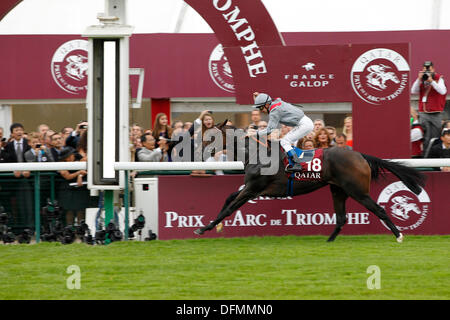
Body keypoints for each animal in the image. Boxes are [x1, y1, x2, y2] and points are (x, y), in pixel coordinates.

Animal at [193, 123, 426, 242]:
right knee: (341, 217)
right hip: (338, 190)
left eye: (210, 136)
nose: (197, 150)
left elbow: (230, 207)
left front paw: (205, 228)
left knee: (379, 209)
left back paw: (399, 235)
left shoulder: (253, 189)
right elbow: (228, 199)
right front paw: (211, 226)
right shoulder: (251, 188)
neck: (257, 154)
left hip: (357, 191)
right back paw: (328, 243)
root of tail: (359, 155)